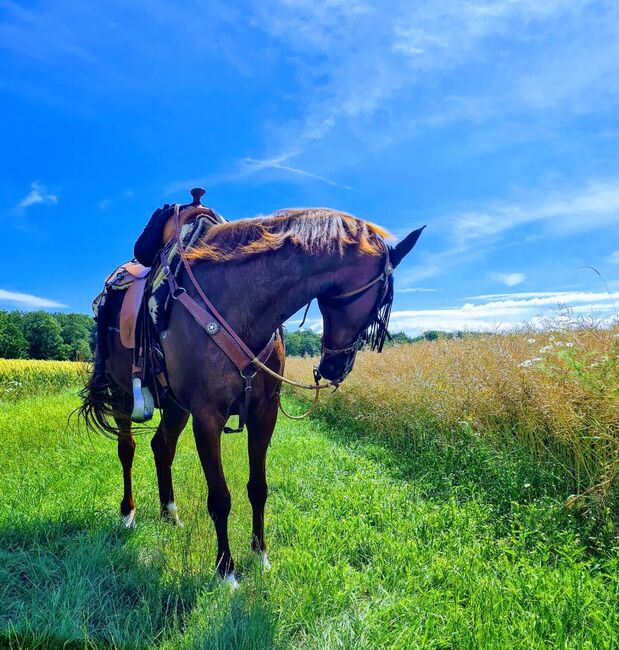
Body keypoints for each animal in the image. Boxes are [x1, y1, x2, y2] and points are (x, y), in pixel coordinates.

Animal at [80, 206, 424, 584]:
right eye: (381, 303)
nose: (337, 368)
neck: (239, 305)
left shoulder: (264, 413)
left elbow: (258, 488)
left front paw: (261, 555)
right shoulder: (207, 417)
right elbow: (220, 497)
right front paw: (226, 570)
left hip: (174, 405)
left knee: (162, 447)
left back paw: (170, 514)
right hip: (122, 394)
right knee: (127, 449)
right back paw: (128, 513)